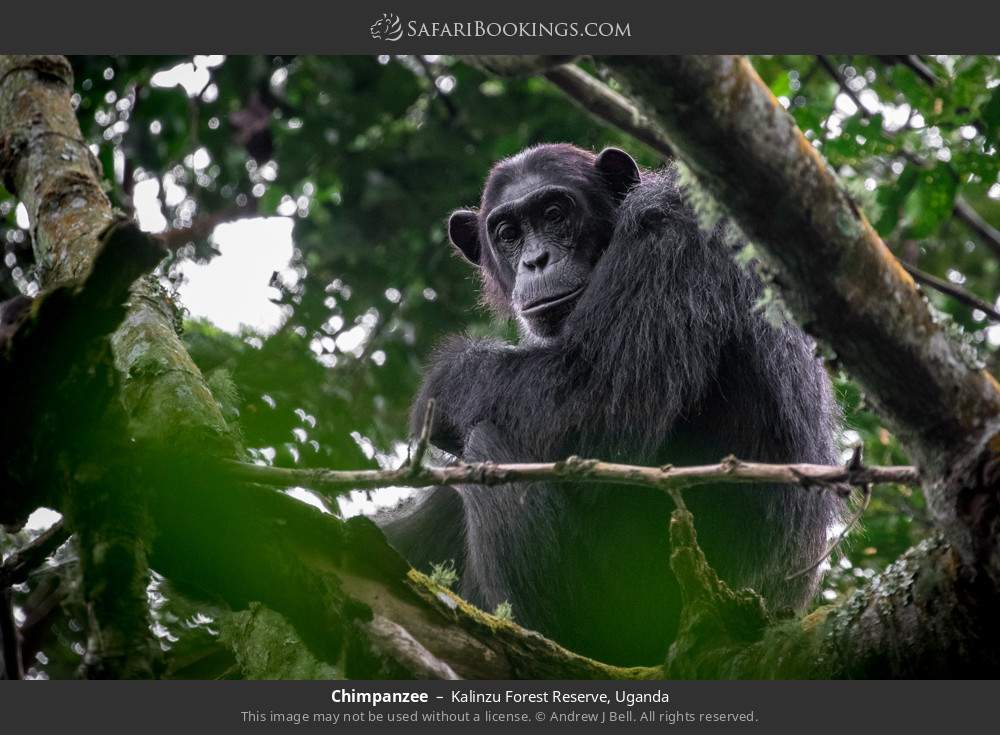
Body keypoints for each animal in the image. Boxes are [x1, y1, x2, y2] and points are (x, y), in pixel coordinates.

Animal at [378, 144, 840, 668]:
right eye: (509, 233)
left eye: (555, 214)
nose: (536, 260)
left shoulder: (669, 233)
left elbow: (592, 402)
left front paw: (443, 383)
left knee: (490, 445)